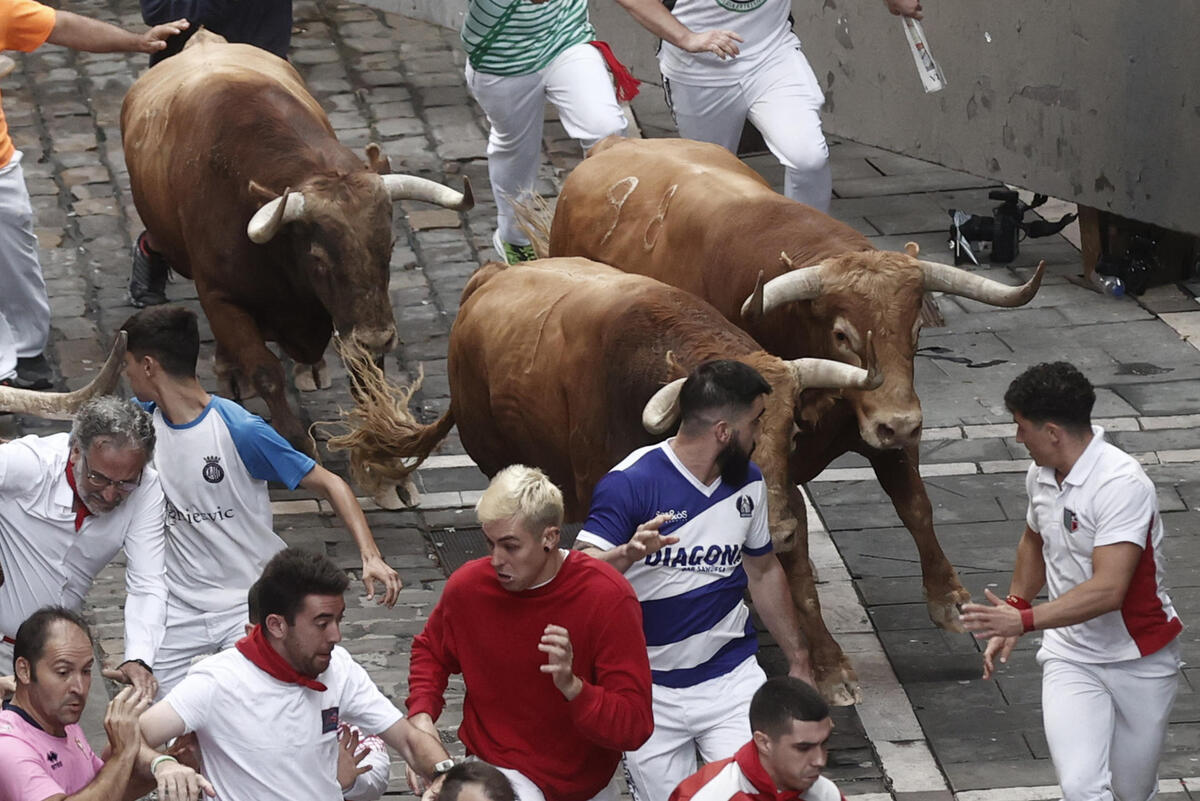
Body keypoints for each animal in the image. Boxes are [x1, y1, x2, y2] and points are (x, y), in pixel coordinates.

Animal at [120, 31, 468, 453]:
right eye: (318, 259)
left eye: (388, 249)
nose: (377, 338)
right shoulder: (220, 296)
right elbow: (265, 370)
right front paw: (295, 437)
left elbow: (364, 372)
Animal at [348, 260, 883, 705]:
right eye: (733, 442)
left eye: (791, 435)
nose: (777, 531)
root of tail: (490, 276)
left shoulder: (786, 499)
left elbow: (800, 584)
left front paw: (831, 670)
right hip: (494, 456)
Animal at [549, 134, 1046, 695]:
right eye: (842, 334)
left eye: (916, 329)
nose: (901, 422)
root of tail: (614, 146)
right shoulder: (773, 472)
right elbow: (794, 559)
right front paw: (829, 665)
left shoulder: (877, 433)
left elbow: (916, 505)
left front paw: (951, 600)